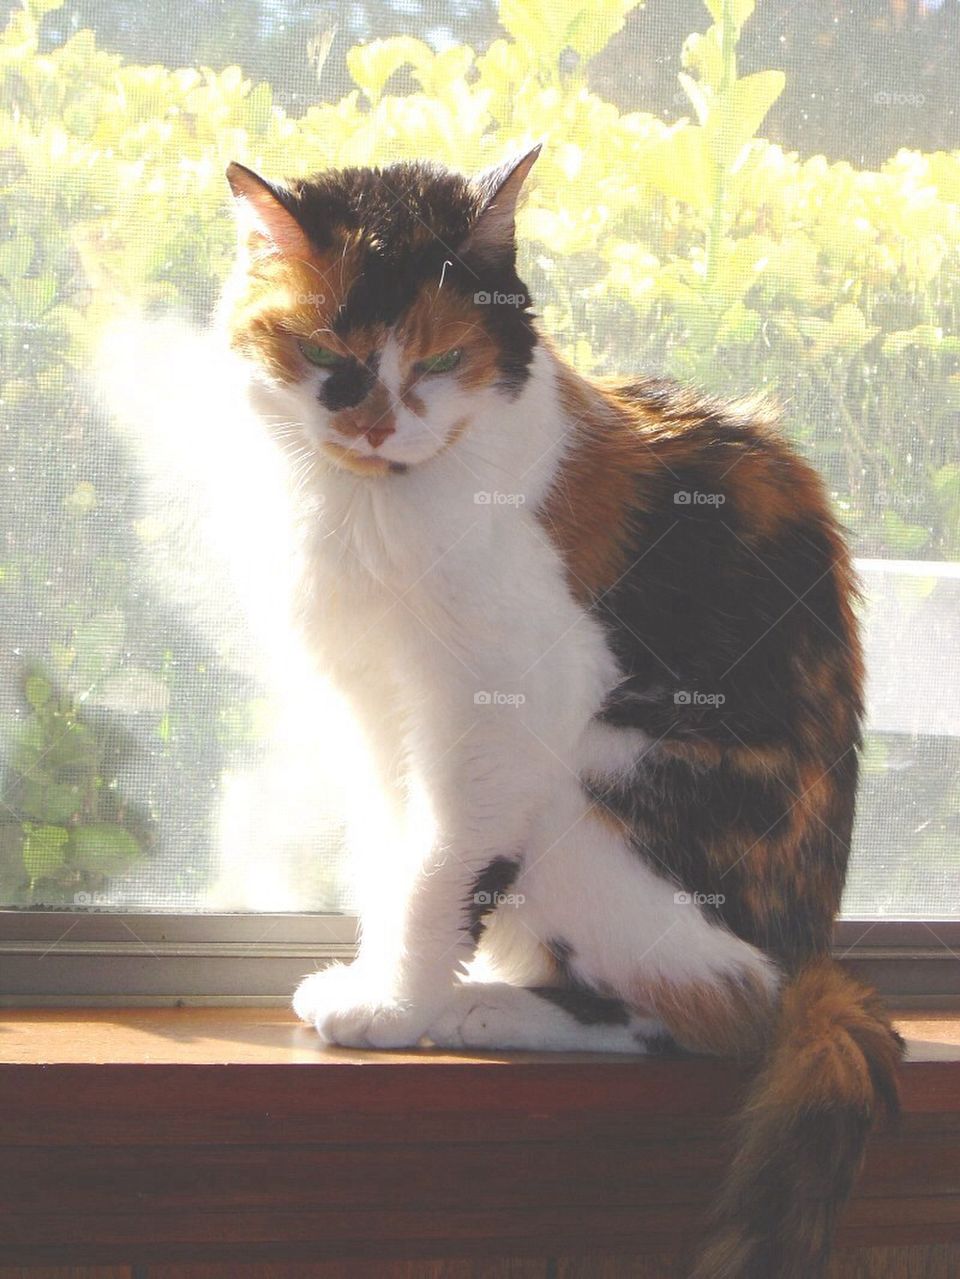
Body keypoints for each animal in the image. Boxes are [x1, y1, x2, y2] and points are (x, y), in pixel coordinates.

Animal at [221, 145, 905, 1279]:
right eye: (321, 348)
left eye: (442, 357)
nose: (374, 421)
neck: (379, 508)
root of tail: (815, 961)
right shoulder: (378, 715)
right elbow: (392, 851)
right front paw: (380, 972)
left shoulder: (506, 706)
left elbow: (436, 869)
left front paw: (392, 1004)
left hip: (595, 795)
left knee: (718, 1008)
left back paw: (477, 1008)